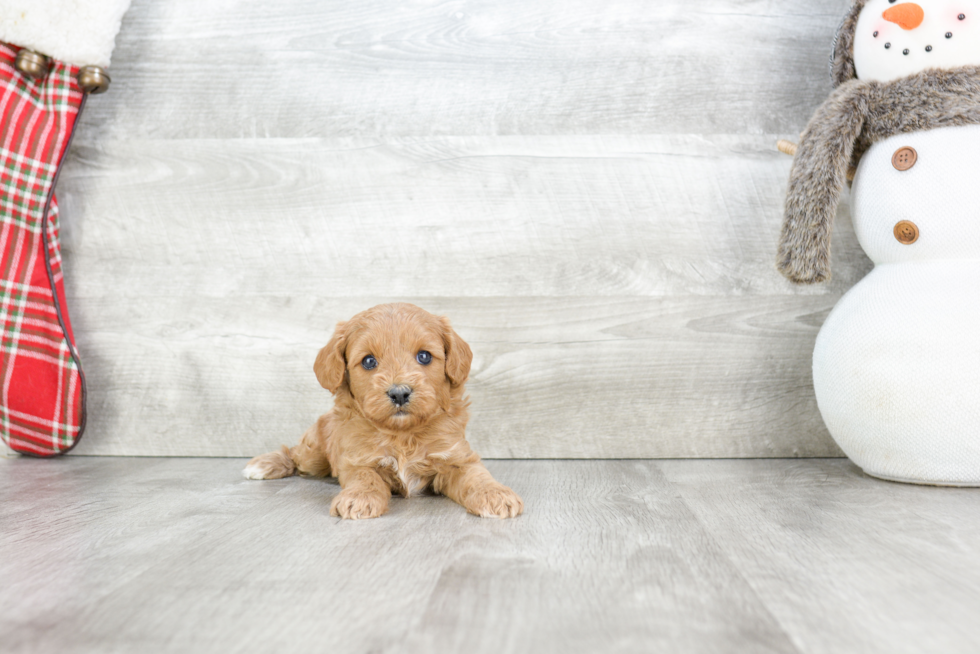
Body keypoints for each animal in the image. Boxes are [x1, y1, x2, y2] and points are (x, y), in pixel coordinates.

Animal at [242, 304, 524, 524]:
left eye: (424, 356)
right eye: (369, 361)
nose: (399, 393)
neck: (403, 433)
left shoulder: (457, 457)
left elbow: (477, 476)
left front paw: (495, 494)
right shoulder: (357, 459)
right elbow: (366, 477)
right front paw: (359, 498)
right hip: (315, 453)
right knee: (294, 453)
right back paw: (264, 464)